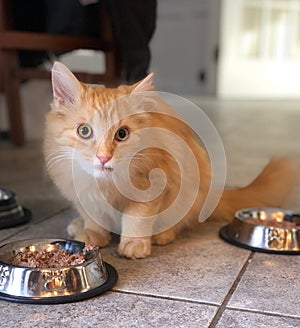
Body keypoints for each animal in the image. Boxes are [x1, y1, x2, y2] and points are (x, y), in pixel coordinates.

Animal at [43, 62, 296, 258]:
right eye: (84, 131)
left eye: (122, 134)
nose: (103, 156)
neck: (105, 184)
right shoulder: (83, 194)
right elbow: (93, 218)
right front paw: (93, 235)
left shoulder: (153, 188)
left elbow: (137, 219)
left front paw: (134, 244)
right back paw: (77, 226)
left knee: (179, 223)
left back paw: (162, 235)